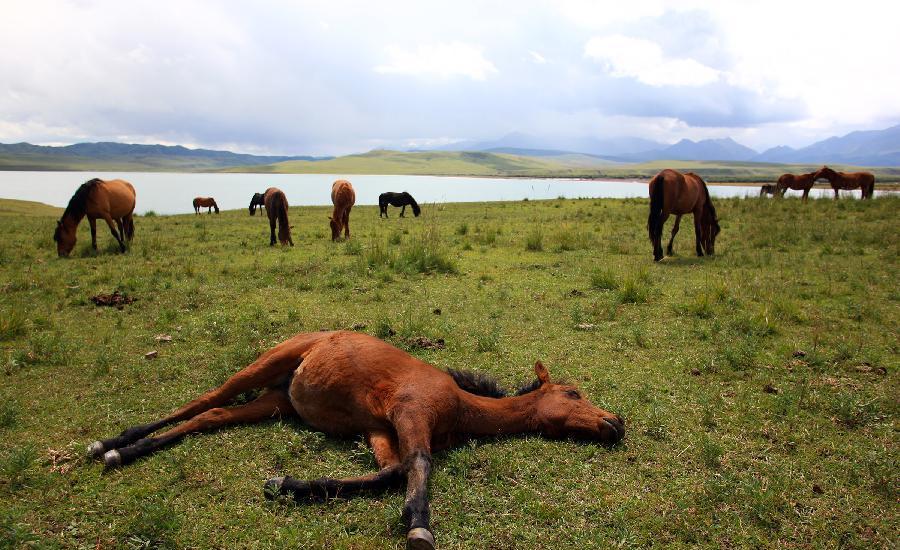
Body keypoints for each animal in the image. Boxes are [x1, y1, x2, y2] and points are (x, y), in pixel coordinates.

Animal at [86, 330, 624, 550]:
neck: (459, 403)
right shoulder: (409, 413)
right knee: (203, 400)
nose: (616, 422)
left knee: (211, 415)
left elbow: (389, 471)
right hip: (265, 365)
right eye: (573, 393)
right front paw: (419, 526)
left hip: (276, 402)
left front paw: (288, 486)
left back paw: (123, 450)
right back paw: (111, 444)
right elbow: (418, 465)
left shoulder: (379, 430)